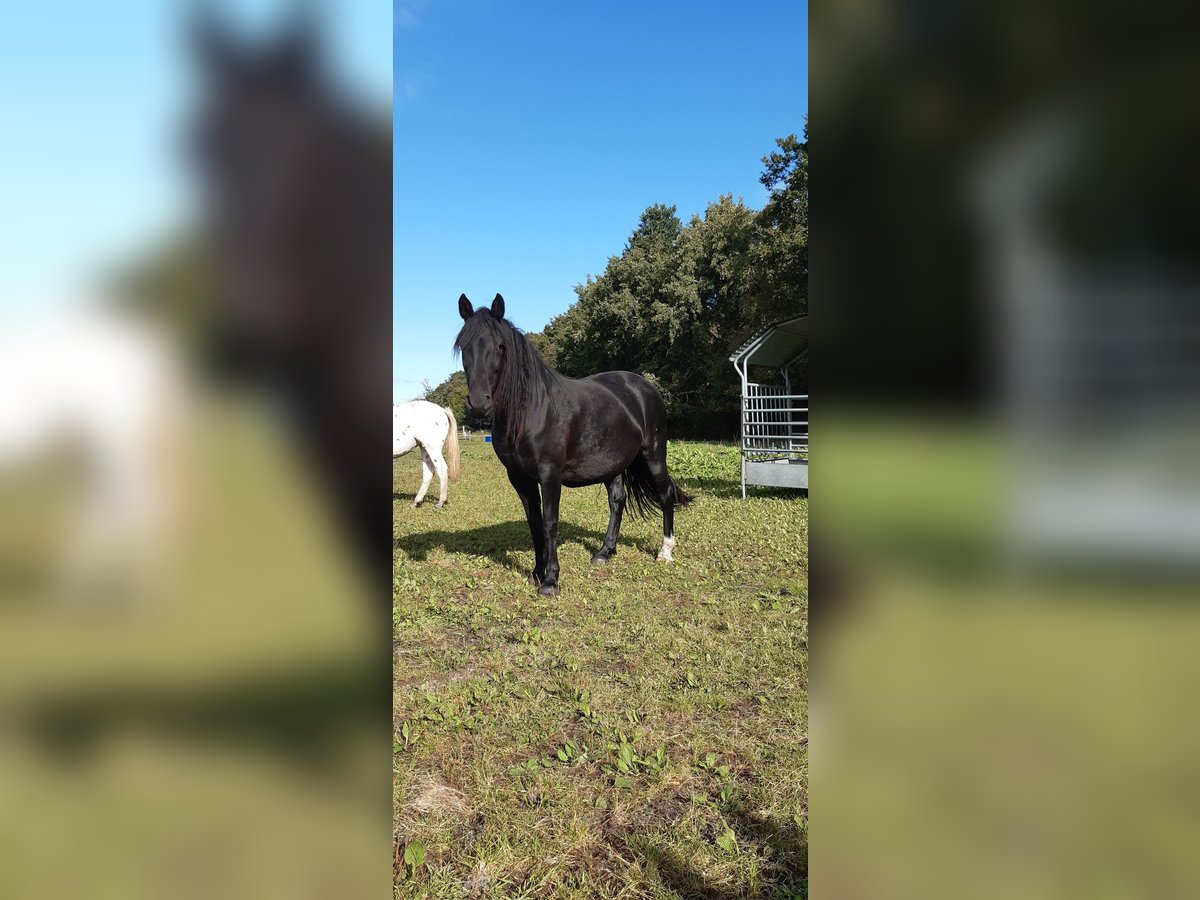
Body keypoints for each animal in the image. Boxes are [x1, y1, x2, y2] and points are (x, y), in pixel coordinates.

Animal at [451, 296, 696, 600]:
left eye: (500, 346)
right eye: (464, 346)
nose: (478, 403)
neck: (531, 409)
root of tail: (645, 388)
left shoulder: (550, 474)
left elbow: (549, 522)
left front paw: (550, 580)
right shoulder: (519, 477)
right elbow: (534, 522)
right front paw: (536, 571)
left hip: (653, 455)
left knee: (665, 495)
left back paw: (665, 551)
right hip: (613, 464)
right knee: (617, 501)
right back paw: (604, 552)